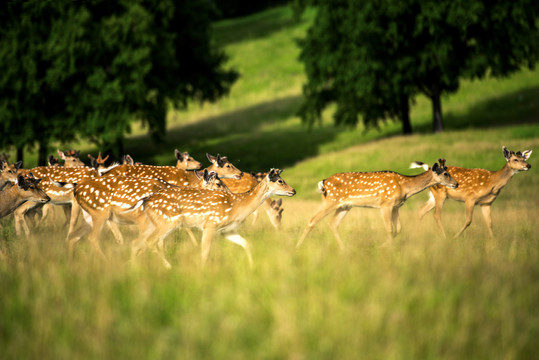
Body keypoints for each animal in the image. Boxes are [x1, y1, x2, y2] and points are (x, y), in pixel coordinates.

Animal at [67, 169, 228, 258]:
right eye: (218, 184)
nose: (230, 194)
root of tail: (76, 190)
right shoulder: (143, 218)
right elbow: (152, 242)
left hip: (88, 216)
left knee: (73, 237)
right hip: (99, 213)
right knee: (92, 238)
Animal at [131, 170, 298, 268]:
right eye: (280, 180)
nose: (293, 190)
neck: (238, 206)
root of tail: (145, 201)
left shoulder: (227, 230)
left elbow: (247, 244)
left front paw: (252, 266)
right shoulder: (210, 224)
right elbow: (205, 253)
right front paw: (203, 273)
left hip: (154, 224)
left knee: (138, 242)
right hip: (167, 222)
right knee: (149, 242)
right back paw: (168, 266)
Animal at [298, 159, 458, 249]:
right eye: (445, 174)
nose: (456, 184)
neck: (404, 186)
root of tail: (323, 182)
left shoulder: (396, 206)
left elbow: (398, 228)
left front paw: (384, 246)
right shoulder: (385, 204)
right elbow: (389, 229)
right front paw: (386, 249)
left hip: (345, 206)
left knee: (333, 224)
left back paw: (344, 249)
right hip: (331, 200)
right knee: (312, 221)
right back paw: (297, 246)